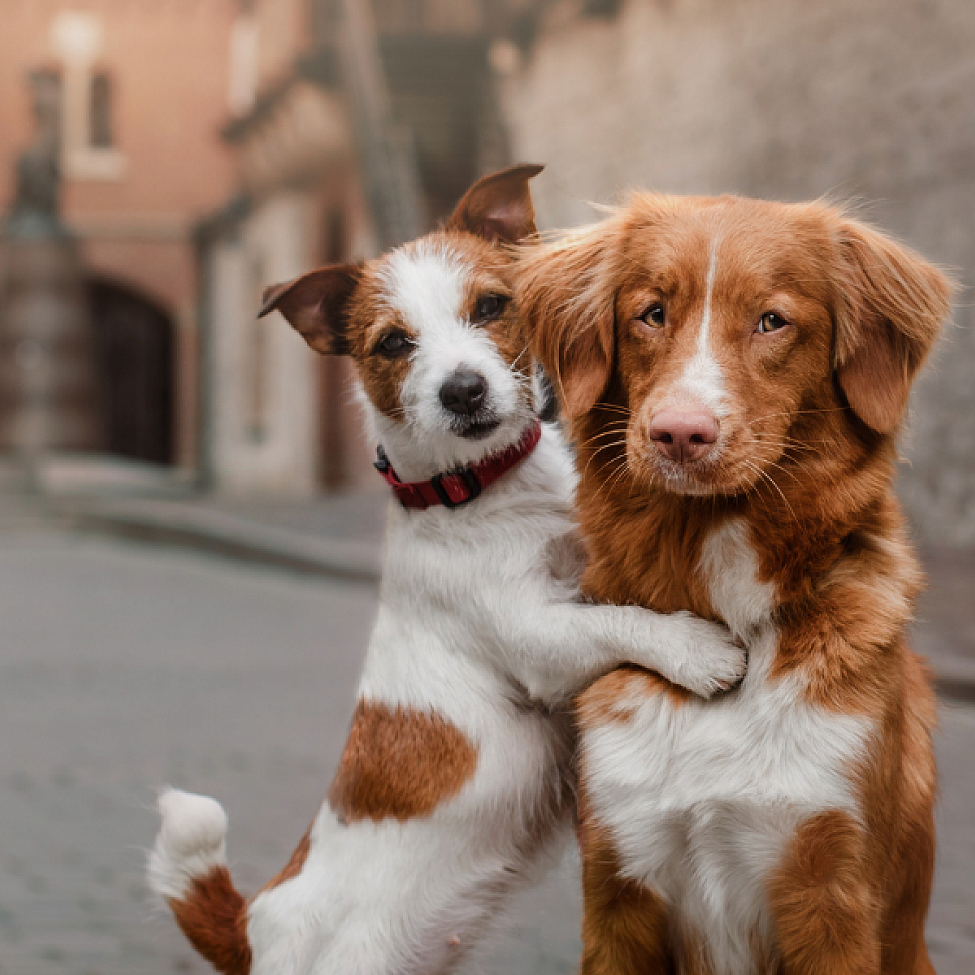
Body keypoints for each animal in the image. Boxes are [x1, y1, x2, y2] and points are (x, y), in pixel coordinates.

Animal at [147, 168, 740, 975]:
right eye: (394, 343)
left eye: (491, 306)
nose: (462, 390)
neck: (484, 488)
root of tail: (250, 925)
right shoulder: (535, 637)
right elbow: (618, 620)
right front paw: (696, 648)